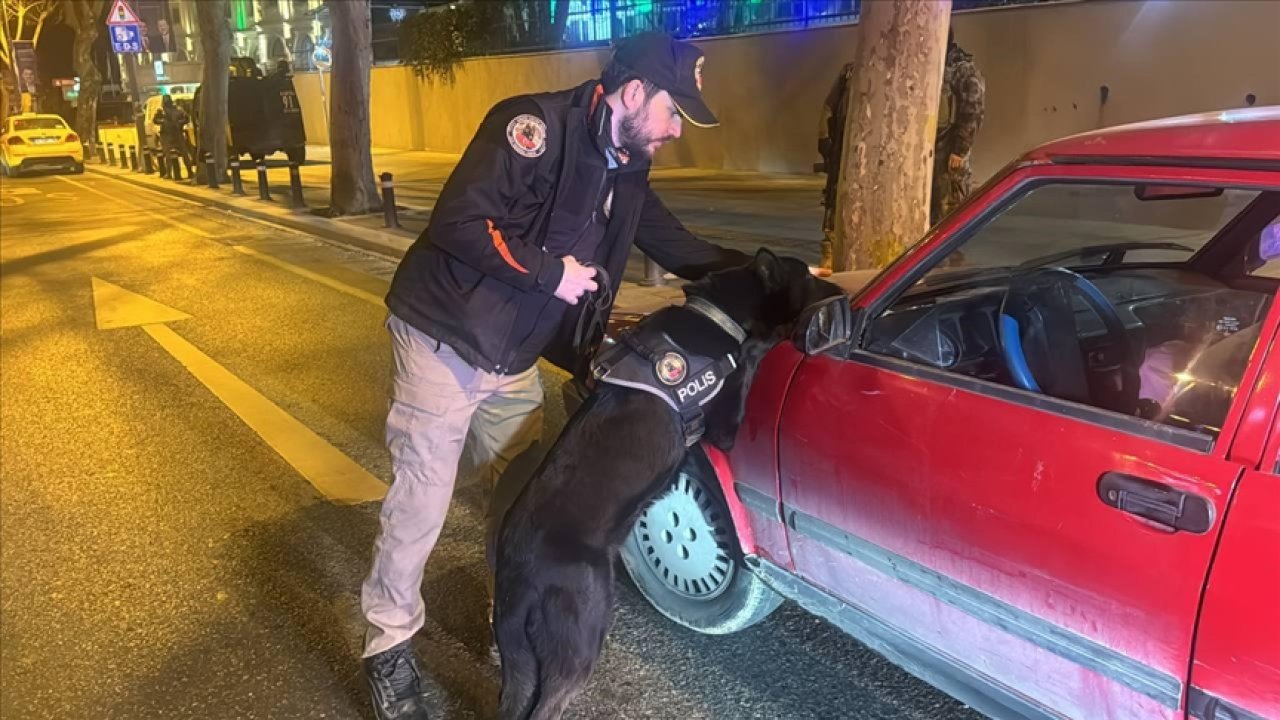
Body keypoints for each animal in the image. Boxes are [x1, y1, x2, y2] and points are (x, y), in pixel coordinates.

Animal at [488, 248, 839, 717]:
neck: (717, 312)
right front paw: (764, 340)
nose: (839, 292)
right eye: (808, 277)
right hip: (583, 630)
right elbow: (750, 353)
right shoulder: (722, 429)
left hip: (517, 654)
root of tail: (520, 574)